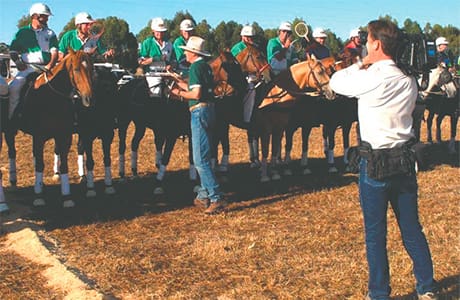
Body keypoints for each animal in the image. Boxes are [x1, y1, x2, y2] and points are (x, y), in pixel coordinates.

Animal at [18, 49, 94, 209]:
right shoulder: (39, 137)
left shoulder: (64, 135)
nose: (89, 99)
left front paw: (67, 196)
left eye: (92, 69)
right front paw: (39, 196)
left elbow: (64, 164)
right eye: (76, 69)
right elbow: (40, 165)